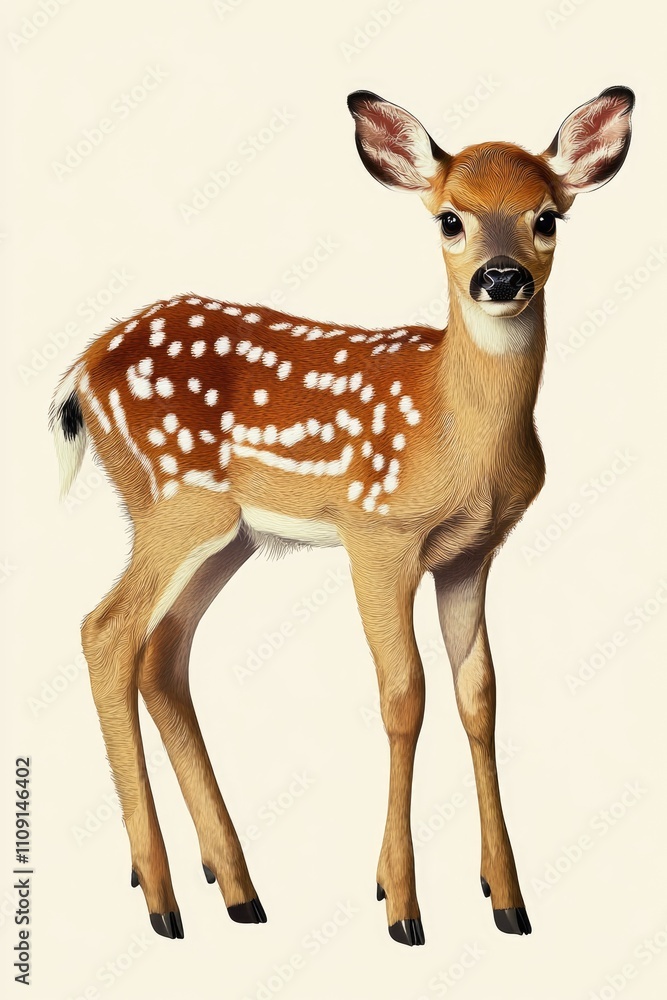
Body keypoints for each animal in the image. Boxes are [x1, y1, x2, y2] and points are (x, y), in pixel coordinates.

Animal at [50, 85, 634, 946]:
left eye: (546, 218)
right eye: (449, 218)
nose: (500, 278)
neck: (453, 427)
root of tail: (82, 367)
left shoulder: (470, 553)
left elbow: (478, 696)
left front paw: (505, 899)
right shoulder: (377, 534)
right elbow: (403, 696)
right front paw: (401, 906)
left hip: (228, 537)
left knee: (161, 653)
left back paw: (237, 889)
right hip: (173, 501)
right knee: (105, 631)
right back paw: (163, 900)